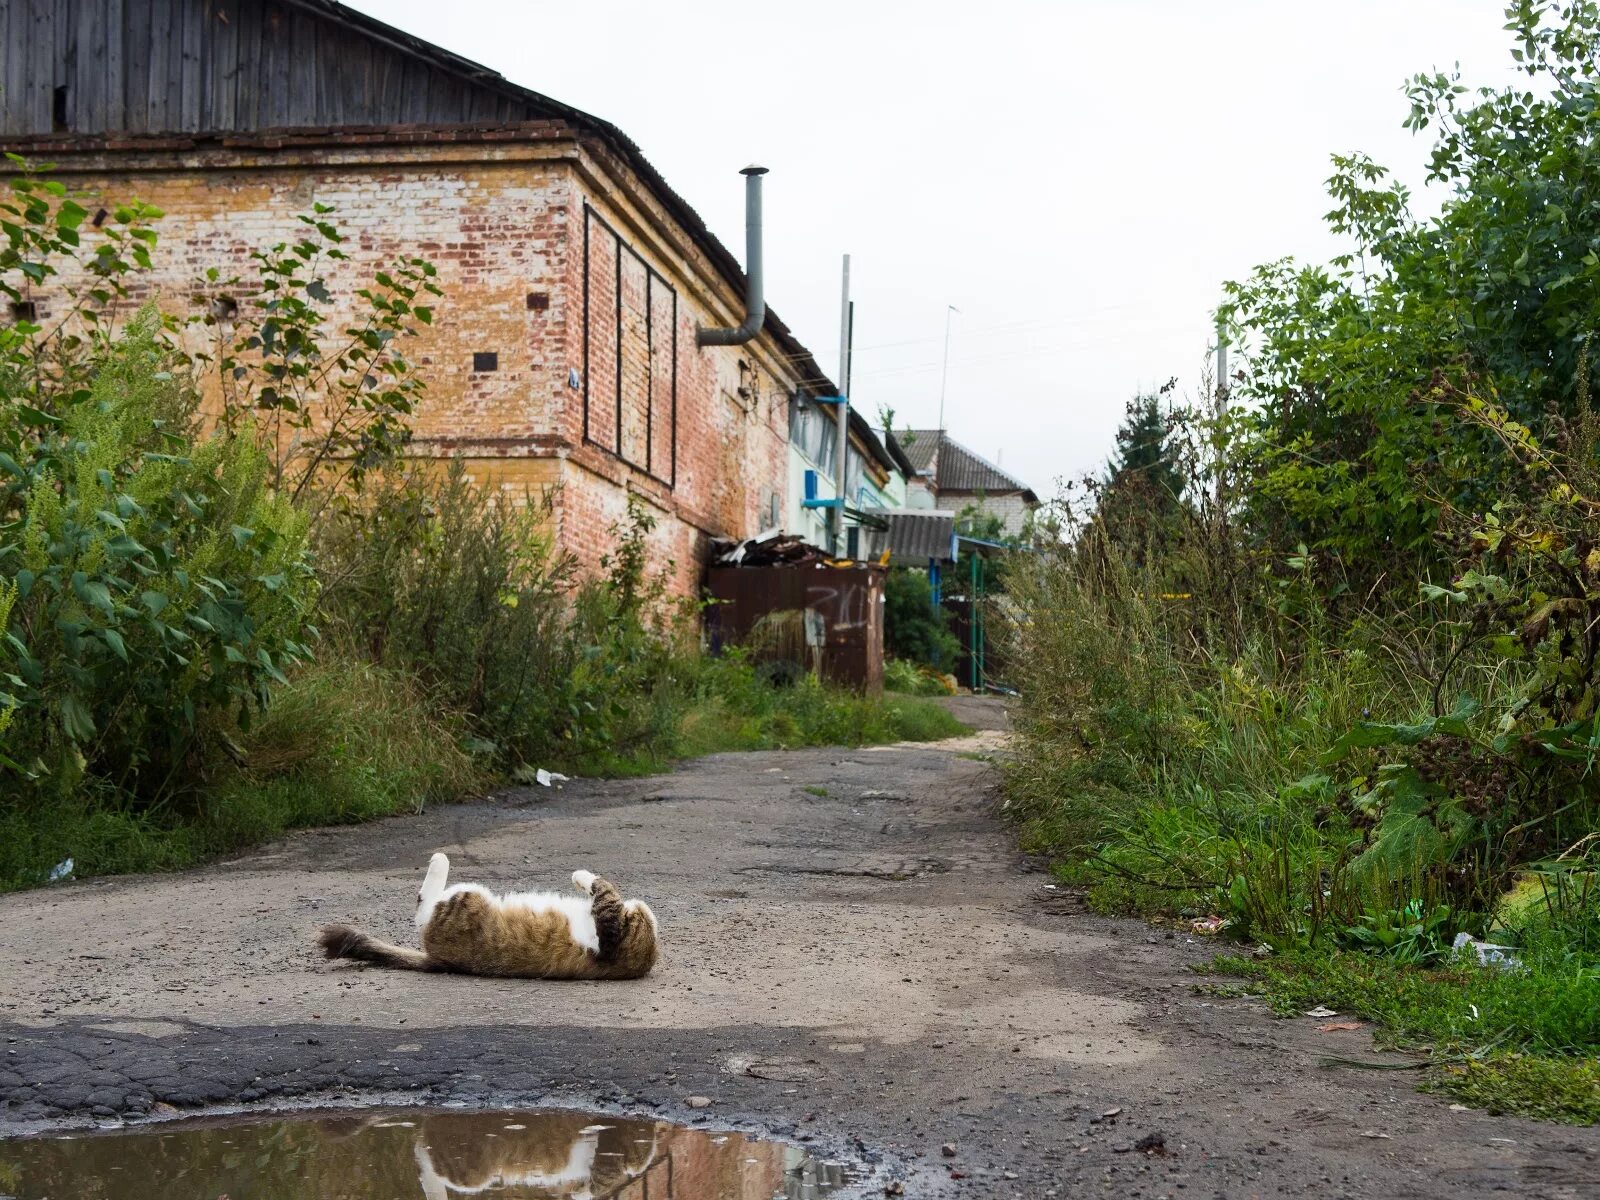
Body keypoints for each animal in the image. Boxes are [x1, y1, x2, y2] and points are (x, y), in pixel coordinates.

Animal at [318, 851, 656, 979]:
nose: (640, 905)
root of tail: (441, 960)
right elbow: (604, 888)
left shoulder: (610, 927)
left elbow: (605, 889)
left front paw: (580, 876)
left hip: (465, 899)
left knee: (425, 906)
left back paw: (439, 858)